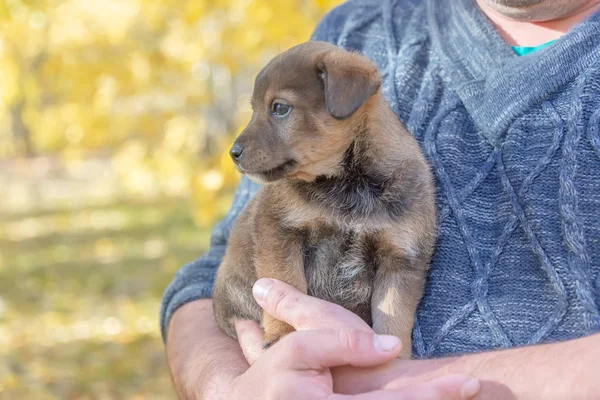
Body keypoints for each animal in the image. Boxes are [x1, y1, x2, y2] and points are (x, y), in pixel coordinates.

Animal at [212, 41, 436, 360]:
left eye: (279, 108)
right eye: (254, 109)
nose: (234, 153)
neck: (350, 185)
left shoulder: (401, 259)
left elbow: (394, 319)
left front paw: (397, 357)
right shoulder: (279, 232)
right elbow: (286, 283)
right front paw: (282, 335)